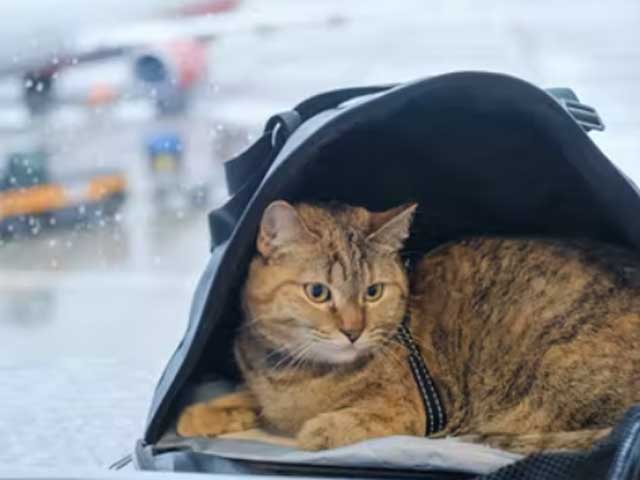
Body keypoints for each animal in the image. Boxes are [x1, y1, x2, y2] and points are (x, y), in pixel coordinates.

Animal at [178, 201, 640, 452]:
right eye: (318, 292)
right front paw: (199, 414)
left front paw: (321, 428)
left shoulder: (416, 411)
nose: (352, 331)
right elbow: (246, 398)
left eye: (373, 292)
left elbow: (343, 423)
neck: (295, 373)